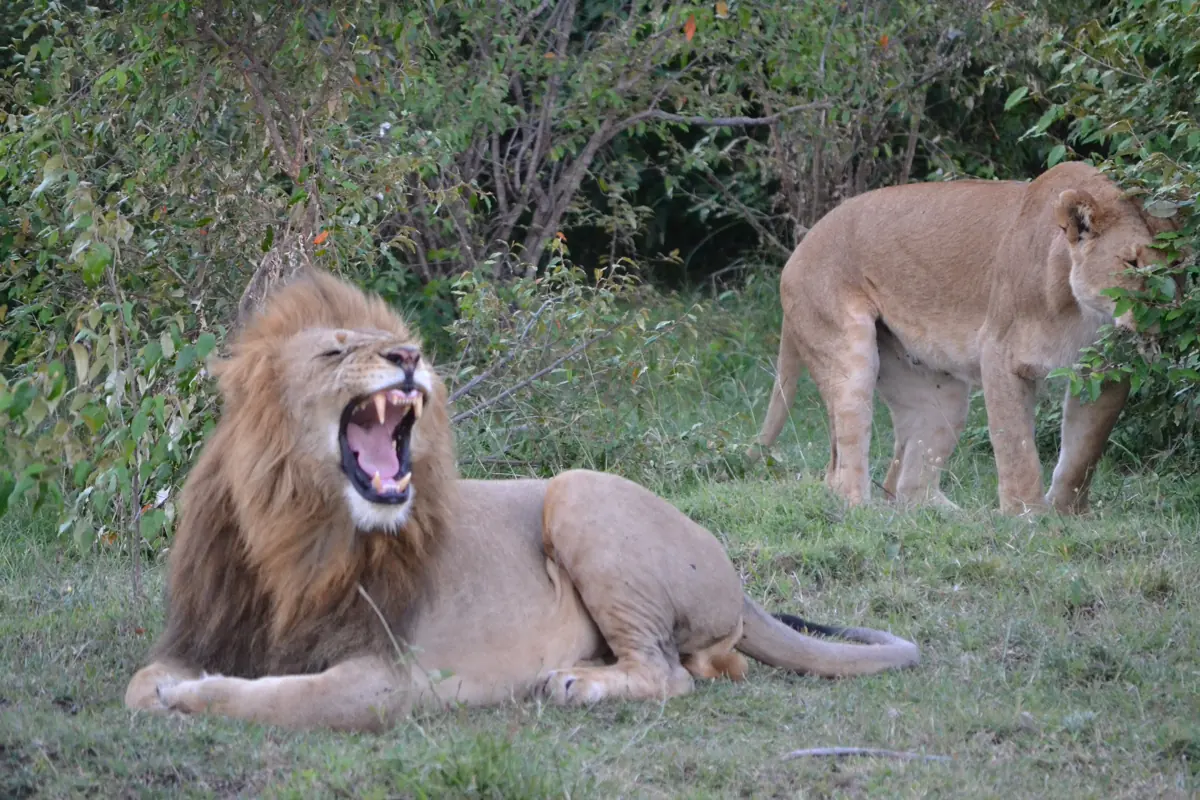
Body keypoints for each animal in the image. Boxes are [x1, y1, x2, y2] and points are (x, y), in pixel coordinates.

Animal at [124, 269, 919, 732]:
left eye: (395, 341)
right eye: (334, 350)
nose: (410, 356)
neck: (291, 524)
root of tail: (736, 577)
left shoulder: (388, 676)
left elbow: (279, 698)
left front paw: (191, 699)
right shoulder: (205, 632)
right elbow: (139, 682)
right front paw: (168, 690)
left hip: (576, 491)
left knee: (668, 674)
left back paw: (573, 683)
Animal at [757, 161, 1175, 515]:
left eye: (1175, 266)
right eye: (1132, 263)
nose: (1162, 313)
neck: (1083, 311)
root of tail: (799, 249)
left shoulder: (1108, 371)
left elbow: (1083, 451)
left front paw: (1064, 514)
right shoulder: (1001, 355)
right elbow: (1016, 447)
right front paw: (1026, 517)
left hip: (939, 398)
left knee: (909, 486)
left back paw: (950, 518)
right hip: (849, 358)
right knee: (843, 472)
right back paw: (866, 515)